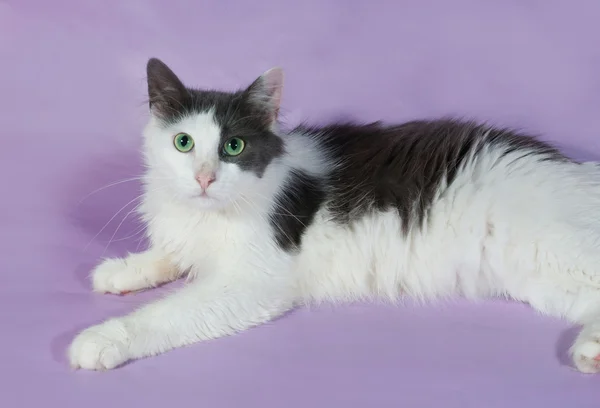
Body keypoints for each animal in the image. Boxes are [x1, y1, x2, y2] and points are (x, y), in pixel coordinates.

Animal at [68, 56, 600, 372]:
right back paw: (590, 352)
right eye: (183, 143)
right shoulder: (191, 236)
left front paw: (100, 339)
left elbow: (166, 314)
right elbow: (171, 253)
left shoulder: (253, 282)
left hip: (552, 248)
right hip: (537, 277)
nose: (203, 178)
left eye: (233, 146)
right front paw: (122, 271)